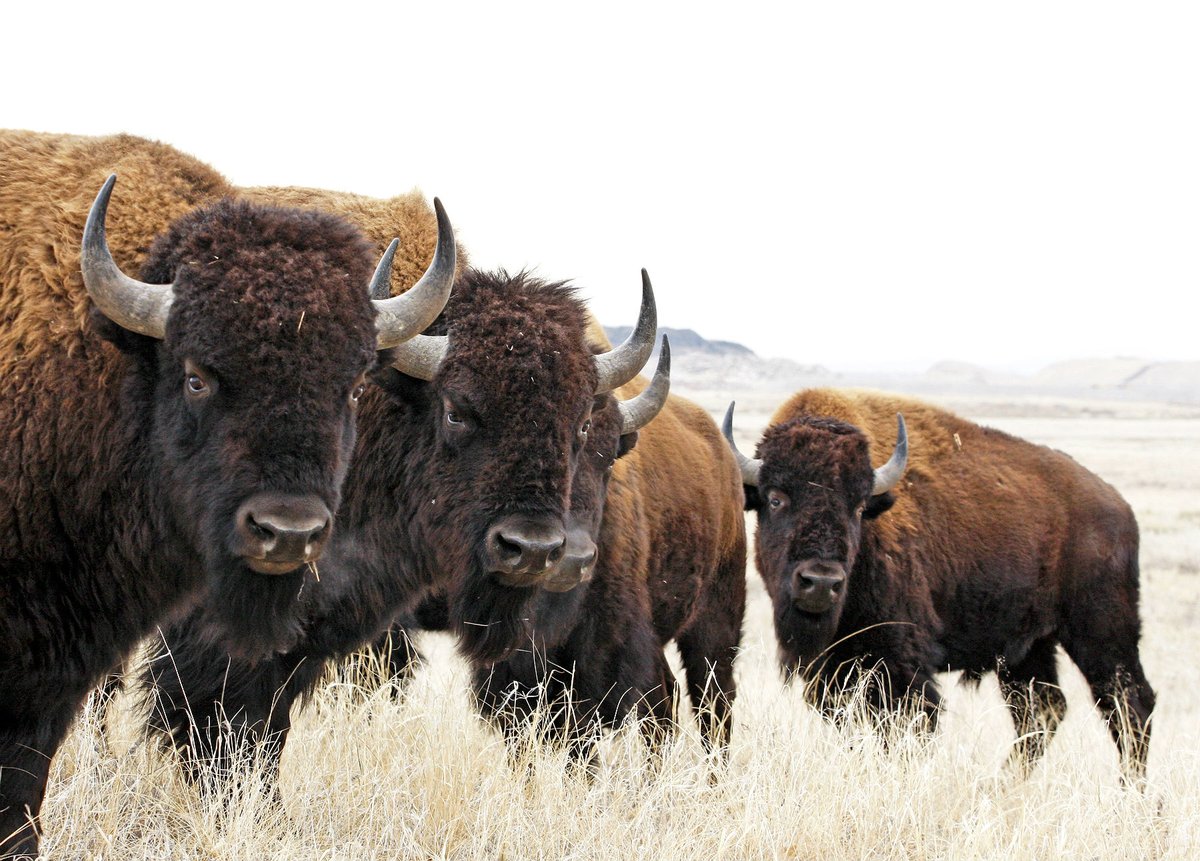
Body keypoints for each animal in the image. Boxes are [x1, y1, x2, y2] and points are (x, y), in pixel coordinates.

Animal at [723, 389, 1155, 777]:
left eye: (859, 507)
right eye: (775, 498)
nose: (820, 582)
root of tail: (1119, 506)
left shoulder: (902, 667)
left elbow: (908, 728)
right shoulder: (832, 673)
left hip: (1102, 633)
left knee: (1130, 704)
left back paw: (1132, 796)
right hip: (1029, 647)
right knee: (1042, 709)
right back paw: (1003, 785)